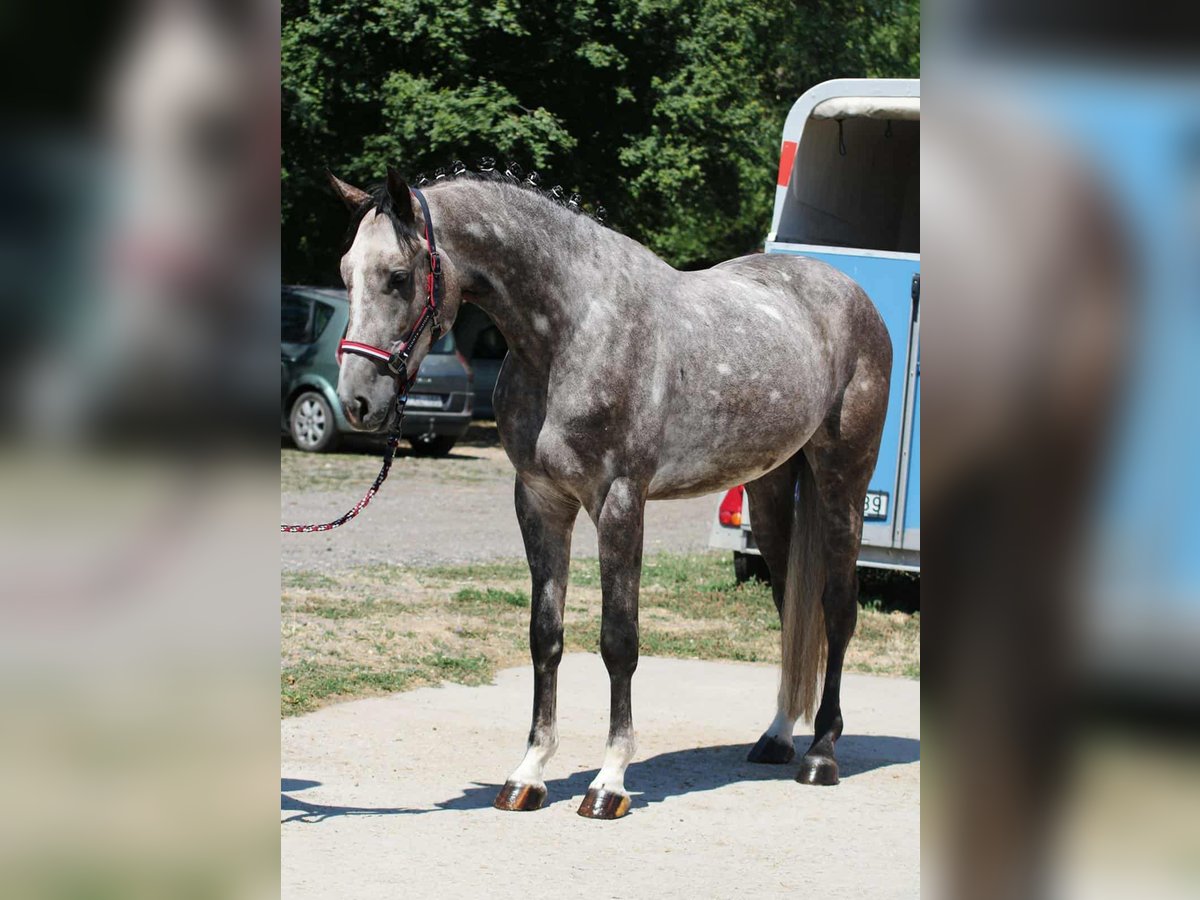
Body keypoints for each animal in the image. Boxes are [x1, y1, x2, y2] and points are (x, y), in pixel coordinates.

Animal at [326, 165, 891, 819]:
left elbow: (619, 640)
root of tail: (850, 295)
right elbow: (545, 636)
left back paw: (821, 753)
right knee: (787, 609)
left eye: (397, 276)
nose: (357, 401)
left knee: (837, 609)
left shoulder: (620, 501)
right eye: (344, 272)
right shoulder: (541, 502)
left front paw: (609, 781)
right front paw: (528, 773)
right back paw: (777, 737)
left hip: (842, 482)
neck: (572, 333)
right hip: (772, 491)